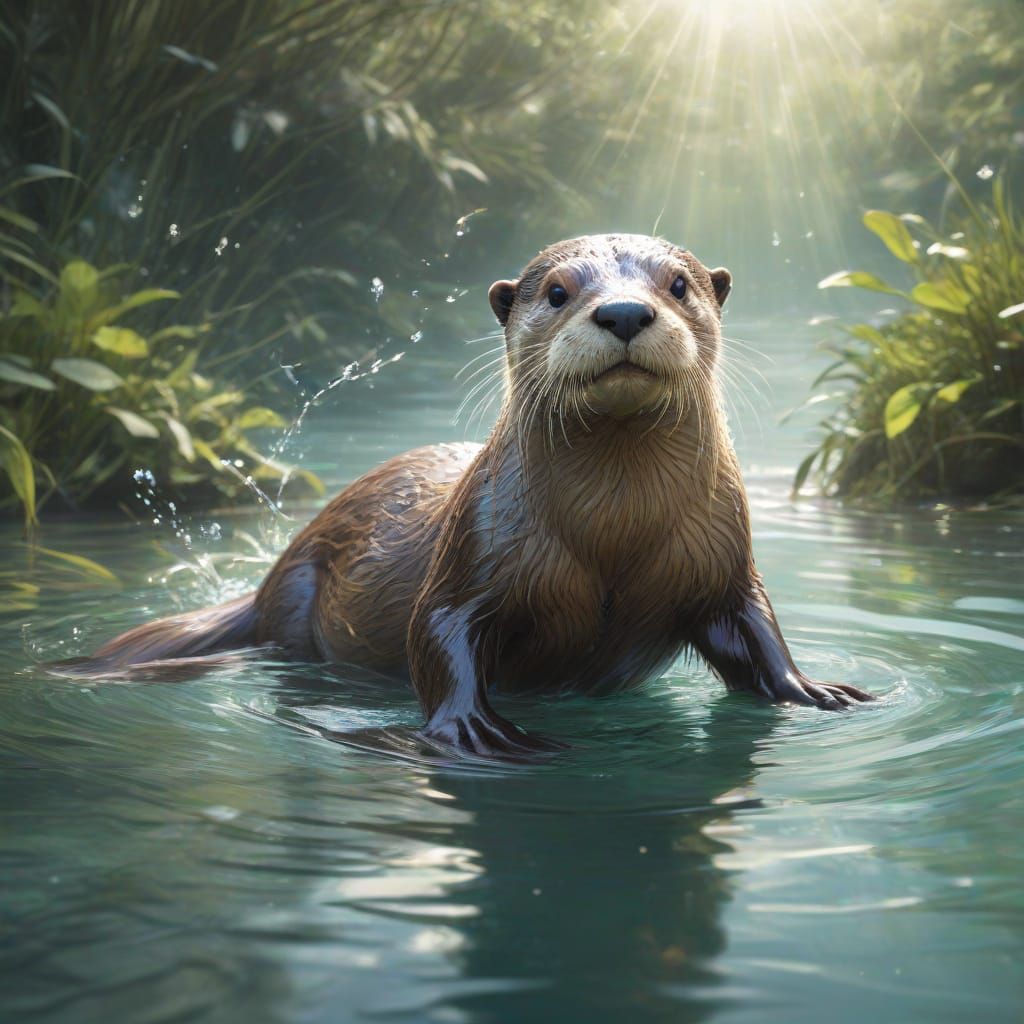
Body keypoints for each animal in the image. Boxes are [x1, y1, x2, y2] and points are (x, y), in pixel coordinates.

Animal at [66, 234, 873, 756]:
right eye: (558, 291)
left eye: (678, 285)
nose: (622, 313)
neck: (617, 528)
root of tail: (269, 577)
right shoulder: (476, 549)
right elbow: (437, 630)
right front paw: (472, 728)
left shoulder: (720, 557)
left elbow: (755, 626)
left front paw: (810, 691)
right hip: (299, 595)